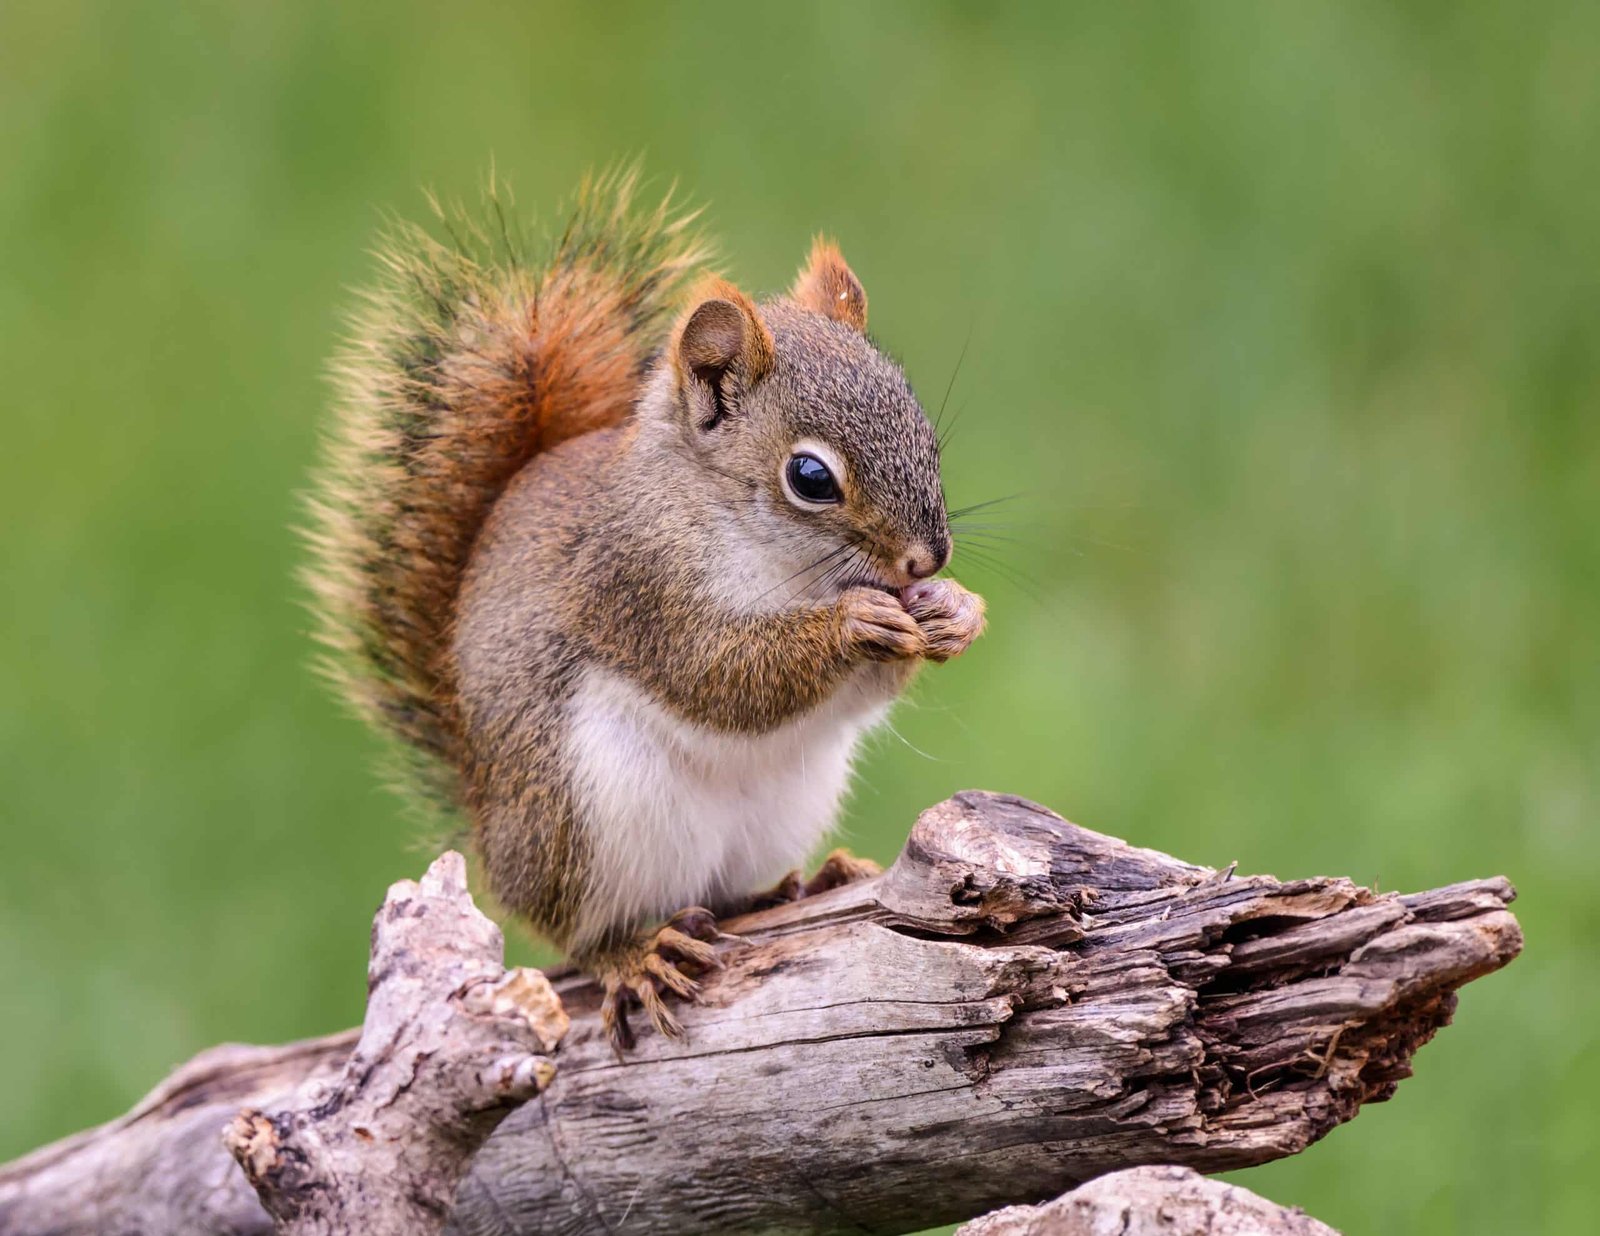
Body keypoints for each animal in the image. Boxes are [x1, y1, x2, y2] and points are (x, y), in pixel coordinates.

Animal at [305, 171, 986, 1047]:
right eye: (810, 477)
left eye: (925, 435)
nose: (925, 560)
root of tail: (492, 834)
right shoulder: (636, 584)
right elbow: (719, 676)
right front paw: (853, 627)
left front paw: (955, 612)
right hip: (583, 815)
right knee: (577, 933)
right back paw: (633, 955)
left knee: (727, 894)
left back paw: (803, 884)